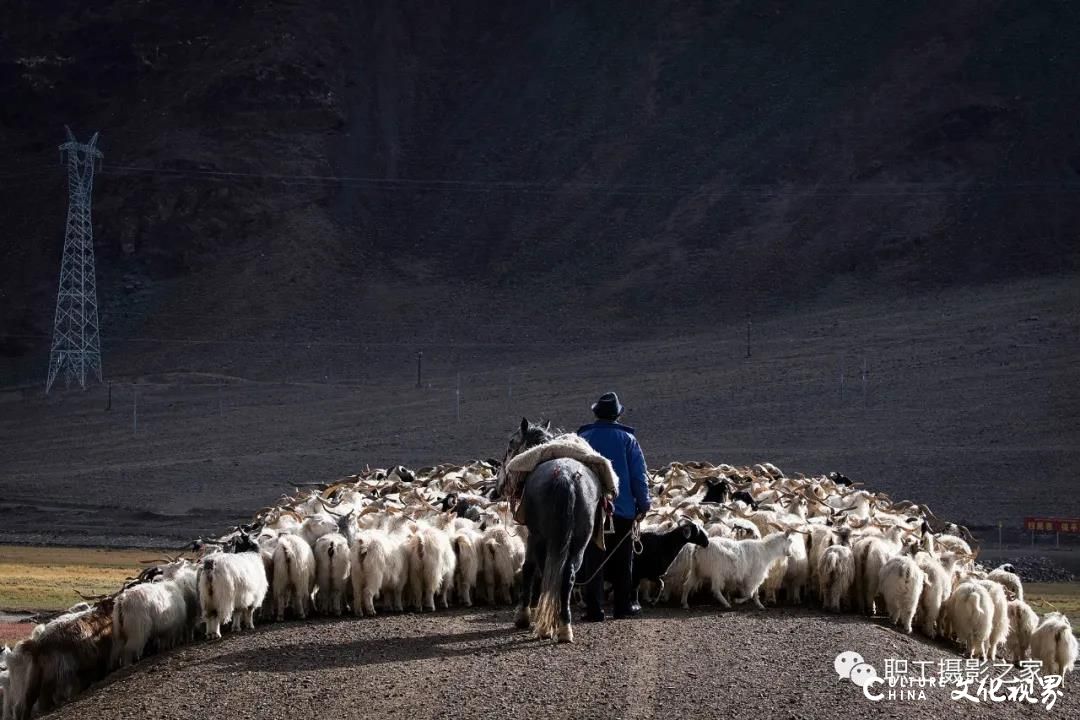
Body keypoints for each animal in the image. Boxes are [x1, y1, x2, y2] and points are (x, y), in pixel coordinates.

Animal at [496, 416, 600, 643]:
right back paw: (564, 626)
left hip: (542, 537)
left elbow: (528, 568)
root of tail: (566, 477)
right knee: (567, 576)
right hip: (580, 540)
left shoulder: (531, 536)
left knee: (546, 572)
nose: (499, 485)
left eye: (510, 444)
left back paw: (547, 626)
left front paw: (522, 616)